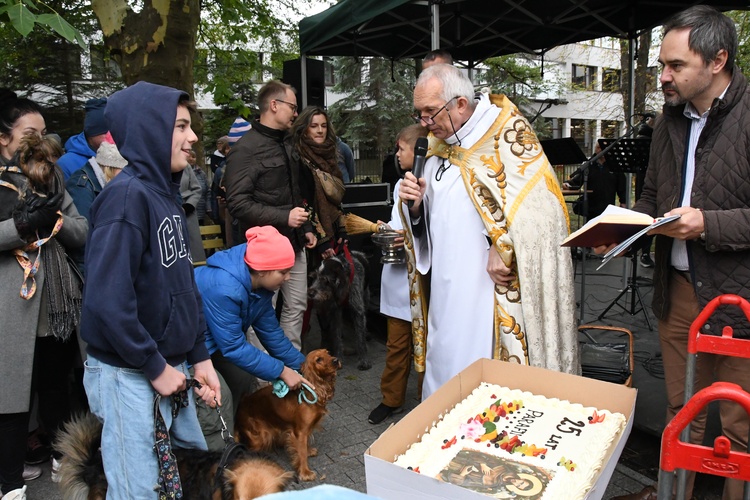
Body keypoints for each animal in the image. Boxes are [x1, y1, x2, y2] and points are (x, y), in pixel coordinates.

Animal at [235, 348, 344, 480]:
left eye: (328, 352)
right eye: (318, 359)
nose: (336, 360)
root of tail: (241, 405)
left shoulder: (305, 429)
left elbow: (305, 444)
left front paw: (309, 451)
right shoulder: (300, 431)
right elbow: (301, 452)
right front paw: (305, 472)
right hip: (259, 437)